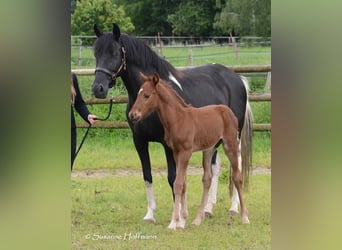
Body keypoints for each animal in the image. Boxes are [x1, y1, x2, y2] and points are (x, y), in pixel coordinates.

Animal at [92, 23, 252, 223]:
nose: (98, 88)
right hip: (213, 139)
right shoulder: (139, 142)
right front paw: (150, 214)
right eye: (96, 53)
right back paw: (208, 209)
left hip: (233, 137)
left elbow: (173, 177)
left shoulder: (169, 145)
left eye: (114, 52)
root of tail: (238, 79)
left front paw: (179, 217)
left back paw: (234, 208)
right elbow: (147, 176)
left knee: (236, 164)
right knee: (215, 167)